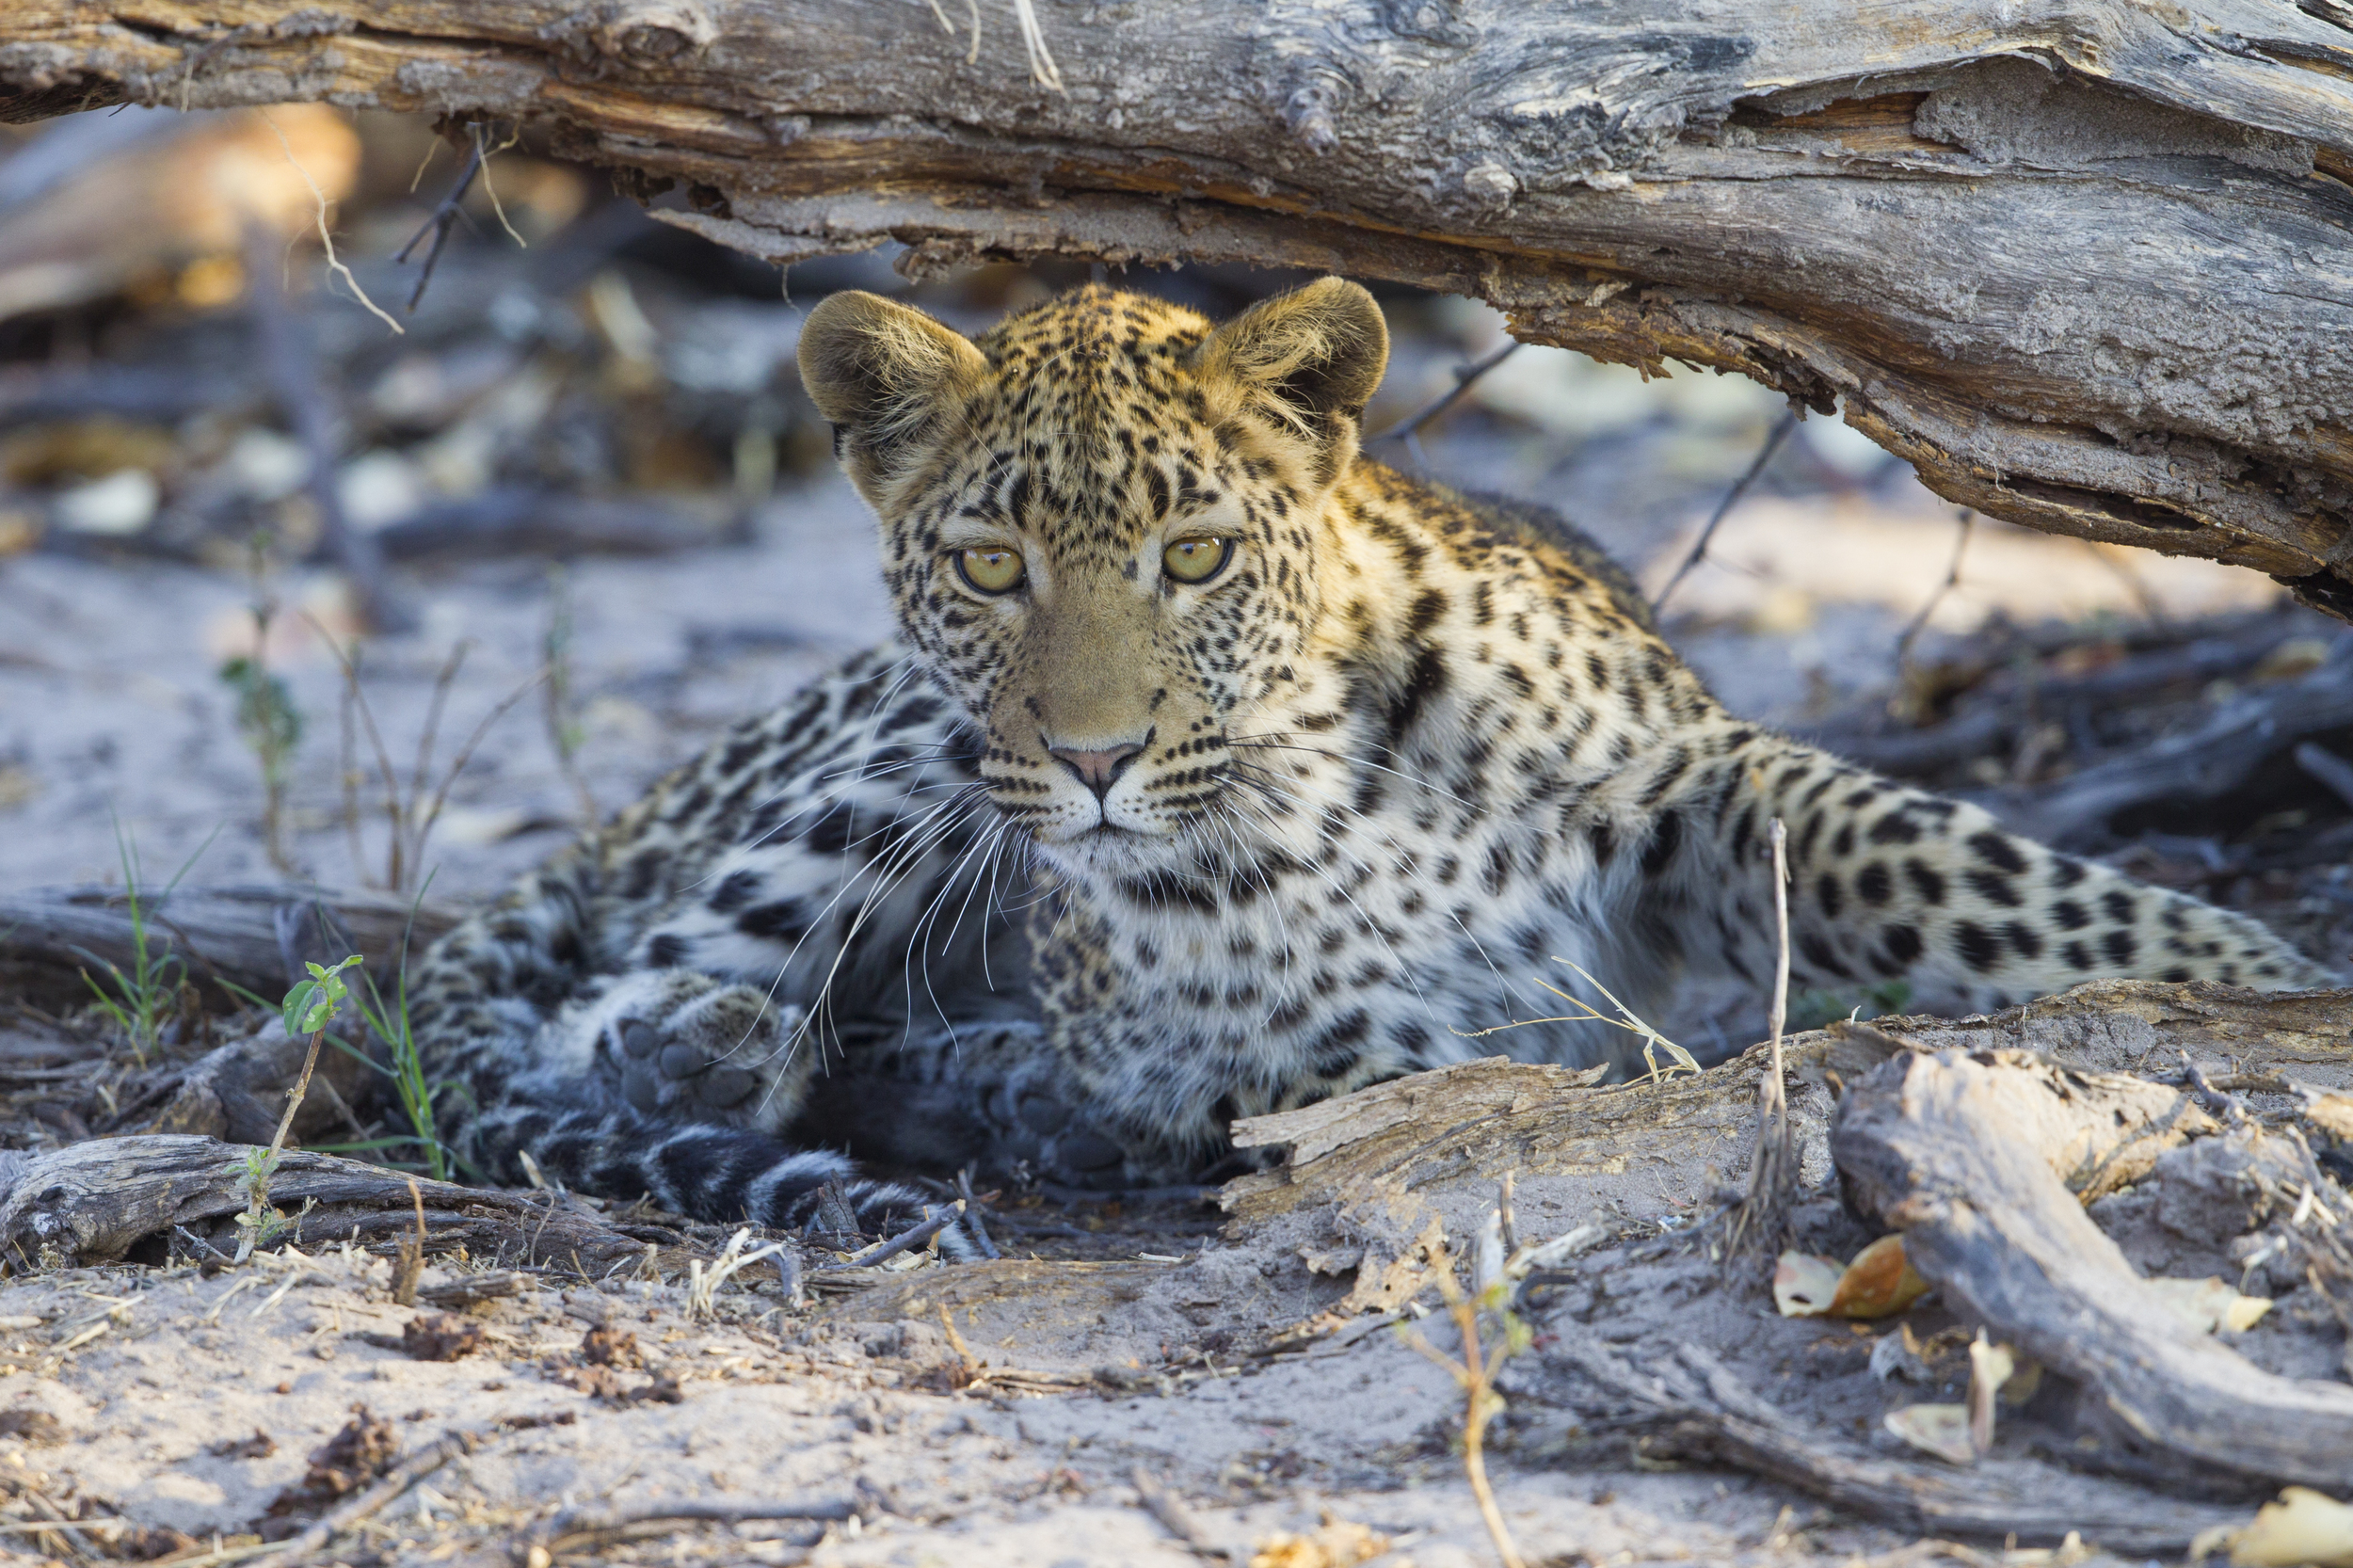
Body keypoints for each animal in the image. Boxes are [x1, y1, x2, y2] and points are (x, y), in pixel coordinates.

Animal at [405, 274, 2334, 1233]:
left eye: (1193, 556)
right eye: (991, 567)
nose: (1096, 760)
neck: (1309, 777)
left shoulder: (1695, 777)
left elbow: (1954, 863)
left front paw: (2257, 973)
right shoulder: (1275, 1036)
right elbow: (1419, 1052)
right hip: (890, 771)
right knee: (606, 993)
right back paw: (751, 1051)